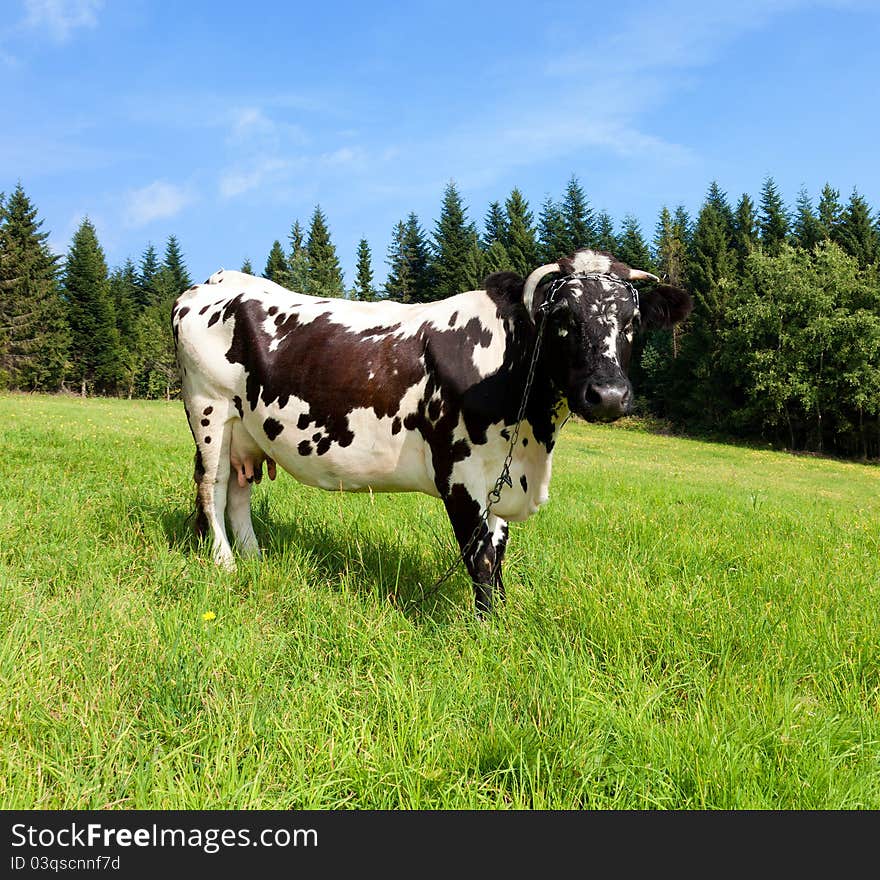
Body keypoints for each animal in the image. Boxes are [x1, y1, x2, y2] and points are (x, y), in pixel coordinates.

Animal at [172, 249, 692, 612]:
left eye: (632, 320)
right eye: (562, 318)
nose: (609, 394)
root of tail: (218, 280)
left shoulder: (499, 474)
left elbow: (497, 552)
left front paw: (504, 618)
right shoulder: (458, 473)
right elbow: (480, 558)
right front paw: (489, 632)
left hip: (245, 432)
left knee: (239, 491)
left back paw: (254, 559)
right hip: (209, 409)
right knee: (213, 487)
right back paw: (225, 563)